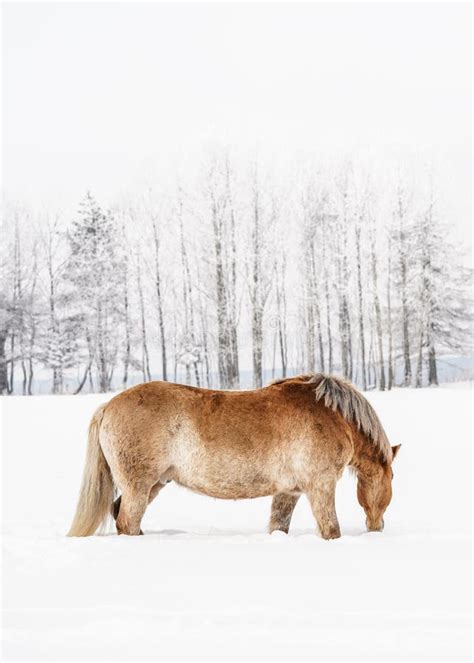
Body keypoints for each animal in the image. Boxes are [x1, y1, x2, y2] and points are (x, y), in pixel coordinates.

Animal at [66, 374, 400, 540]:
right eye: (392, 477)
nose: (378, 527)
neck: (332, 416)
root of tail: (107, 406)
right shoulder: (320, 486)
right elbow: (332, 530)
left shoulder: (288, 491)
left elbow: (278, 526)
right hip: (140, 486)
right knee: (126, 521)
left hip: (154, 484)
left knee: (119, 514)